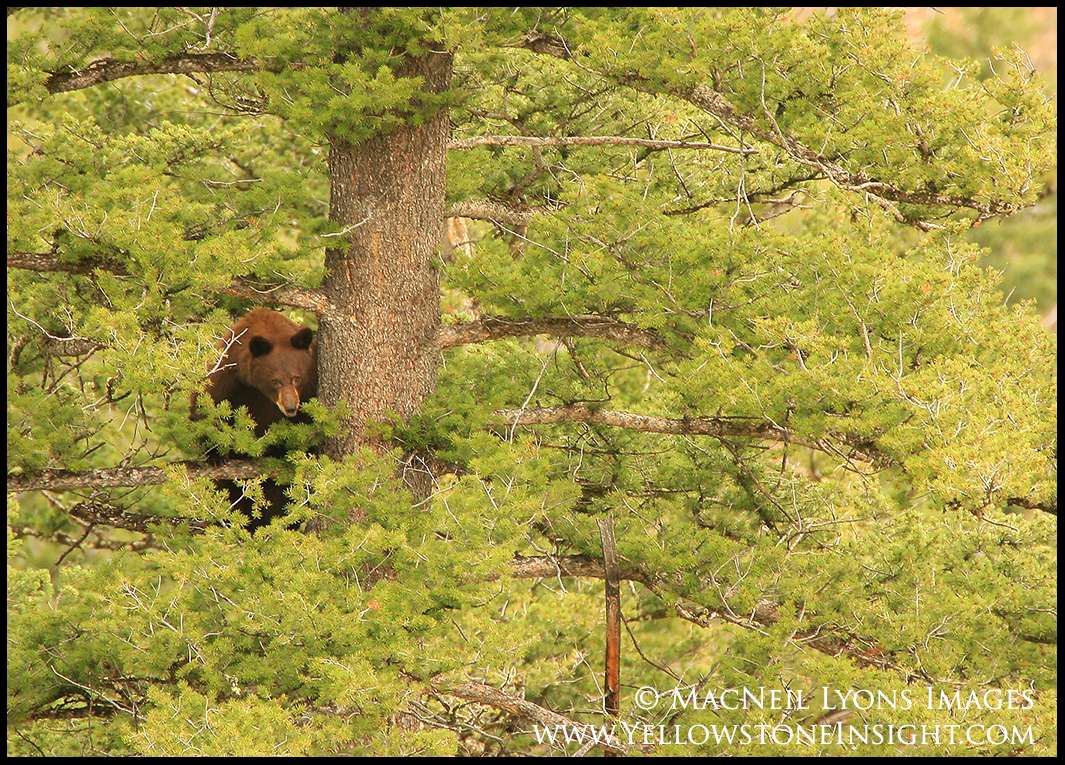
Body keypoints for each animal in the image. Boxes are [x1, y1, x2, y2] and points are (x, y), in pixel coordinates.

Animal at [192, 308, 317, 530]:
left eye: (296, 378)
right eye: (275, 381)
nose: (290, 408)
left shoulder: (310, 383)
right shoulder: (227, 373)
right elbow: (206, 405)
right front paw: (216, 454)